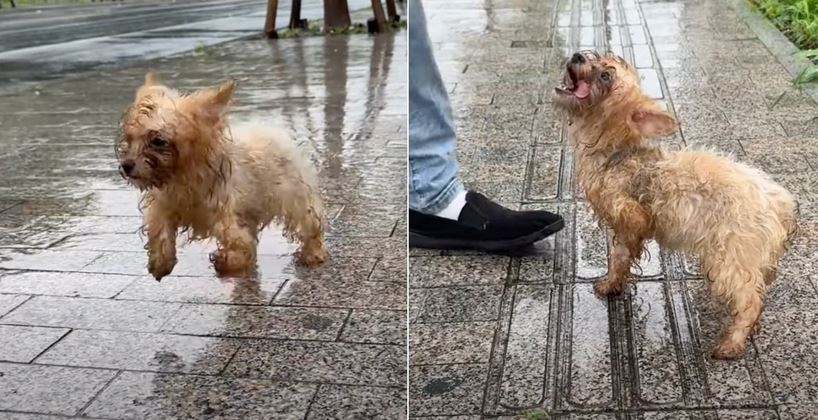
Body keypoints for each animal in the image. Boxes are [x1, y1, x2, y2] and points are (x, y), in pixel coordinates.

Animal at [118, 74, 328, 280]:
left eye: (158, 141)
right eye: (129, 139)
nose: (126, 165)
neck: (183, 177)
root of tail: (274, 133)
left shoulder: (226, 214)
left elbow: (240, 243)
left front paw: (227, 261)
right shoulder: (165, 205)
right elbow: (160, 230)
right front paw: (161, 262)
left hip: (295, 198)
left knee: (310, 225)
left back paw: (313, 253)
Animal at [552, 50, 792, 360]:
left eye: (606, 75)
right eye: (598, 58)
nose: (578, 54)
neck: (616, 150)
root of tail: (780, 203)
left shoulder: (630, 215)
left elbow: (621, 253)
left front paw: (612, 281)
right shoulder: (624, 226)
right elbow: (619, 257)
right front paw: (612, 283)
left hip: (731, 256)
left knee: (750, 300)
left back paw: (732, 342)